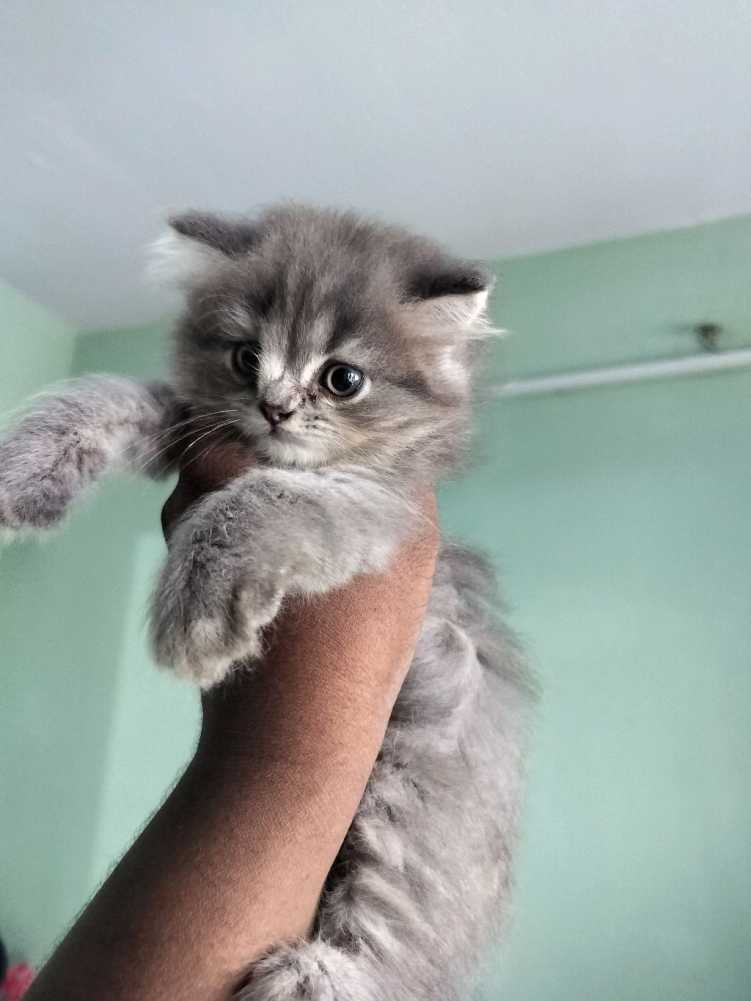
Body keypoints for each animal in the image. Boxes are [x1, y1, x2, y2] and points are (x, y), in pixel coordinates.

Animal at [0, 205, 535, 1000]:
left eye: (343, 379)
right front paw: (26, 472)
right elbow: (114, 396)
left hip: (410, 802)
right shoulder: (195, 422)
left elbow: (262, 500)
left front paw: (198, 609)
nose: (275, 408)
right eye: (245, 357)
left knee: (395, 940)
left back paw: (314, 976)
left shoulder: (379, 509)